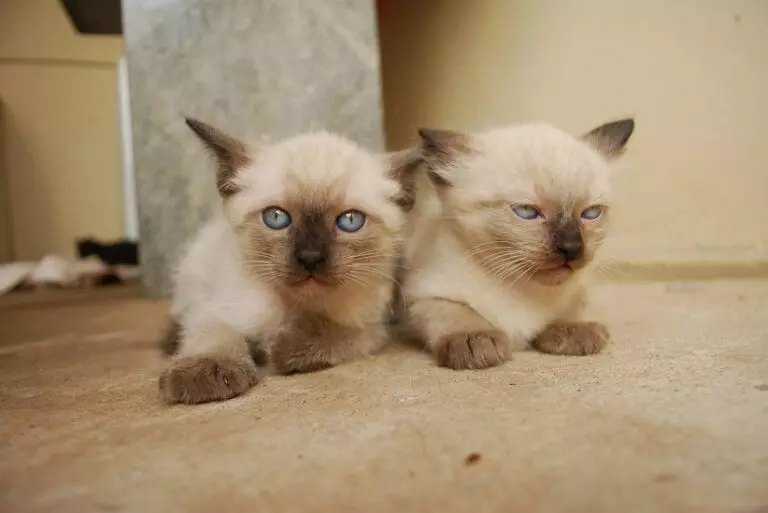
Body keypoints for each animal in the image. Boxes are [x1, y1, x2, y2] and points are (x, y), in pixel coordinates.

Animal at [159, 118, 416, 404]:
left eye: (350, 221)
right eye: (276, 218)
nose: (310, 258)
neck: (296, 307)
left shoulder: (371, 325)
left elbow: (337, 331)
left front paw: (286, 347)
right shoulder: (217, 312)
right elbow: (214, 335)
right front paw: (206, 373)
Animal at [402, 118, 635, 369]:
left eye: (591, 213)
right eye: (526, 211)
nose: (572, 248)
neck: (521, 288)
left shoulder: (578, 290)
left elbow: (574, 306)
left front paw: (573, 330)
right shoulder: (419, 299)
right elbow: (453, 311)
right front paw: (475, 340)